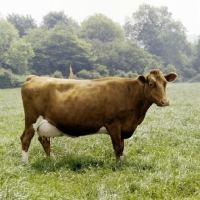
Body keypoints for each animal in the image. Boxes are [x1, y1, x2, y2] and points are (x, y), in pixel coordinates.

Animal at [19, 69, 177, 164]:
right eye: (151, 84)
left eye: (165, 83)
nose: (165, 101)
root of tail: (34, 77)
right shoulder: (114, 125)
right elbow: (117, 147)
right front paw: (117, 165)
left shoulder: (123, 128)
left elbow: (122, 147)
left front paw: (122, 162)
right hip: (31, 120)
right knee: (26, 138)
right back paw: (25, 163)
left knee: (44, 140)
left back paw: (53, 160)